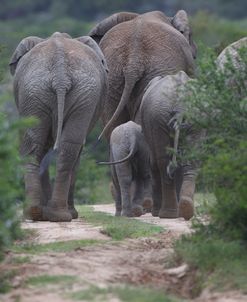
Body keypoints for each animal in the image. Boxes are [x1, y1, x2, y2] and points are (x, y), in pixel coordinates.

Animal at [9, 32, 108, 222]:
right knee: (56, 147)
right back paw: (54, 214)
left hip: (55, 93)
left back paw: (43, 213)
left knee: (42, 145)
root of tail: (60, 75)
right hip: (40, 92)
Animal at [140, 72, 202, 221]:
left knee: (162, 162)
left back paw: (166, 214)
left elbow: (153, 163)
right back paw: (185, 210)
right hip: (190, 116)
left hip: (158, 117)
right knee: (190, 159)